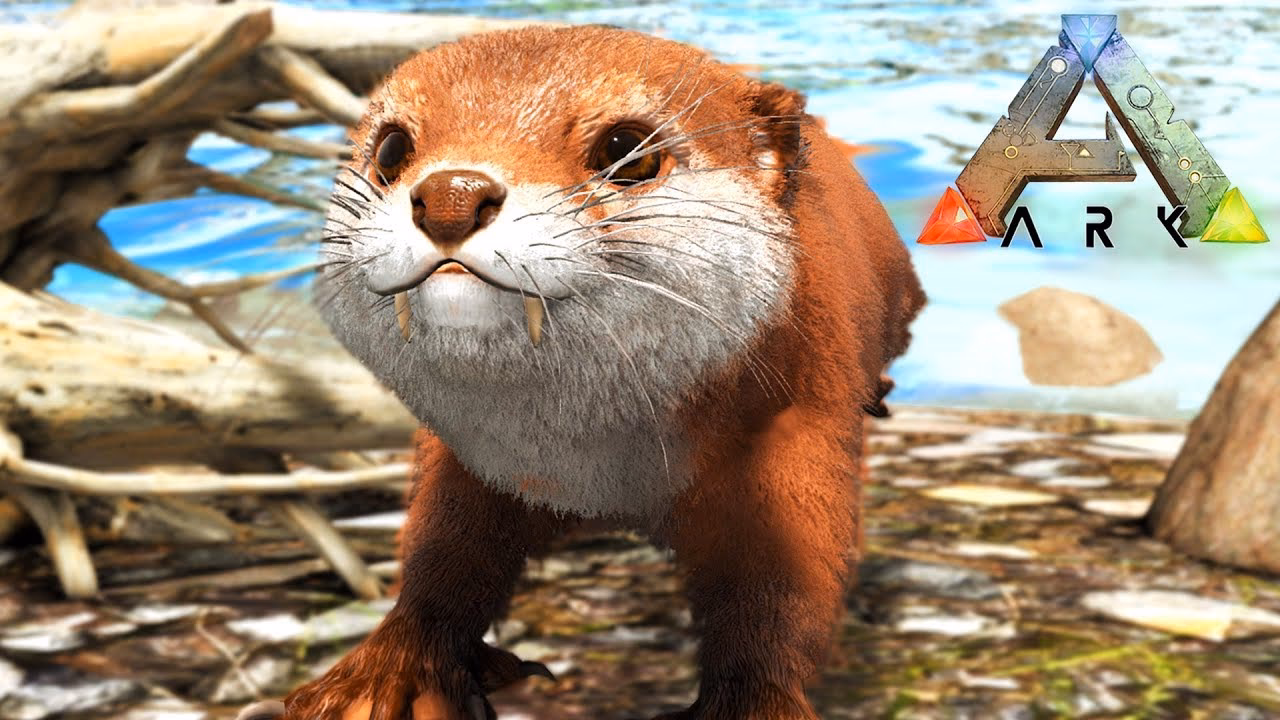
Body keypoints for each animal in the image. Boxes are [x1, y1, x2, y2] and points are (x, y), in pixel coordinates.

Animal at [242, 24, 925, 720]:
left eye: (627, 151)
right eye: (391, 149)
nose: (451, 195)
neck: (599, 470)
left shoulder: (792, 442)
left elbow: (786, 584)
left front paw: (752, 701)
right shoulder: (470, 461)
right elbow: (443, 555)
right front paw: (390, 673)